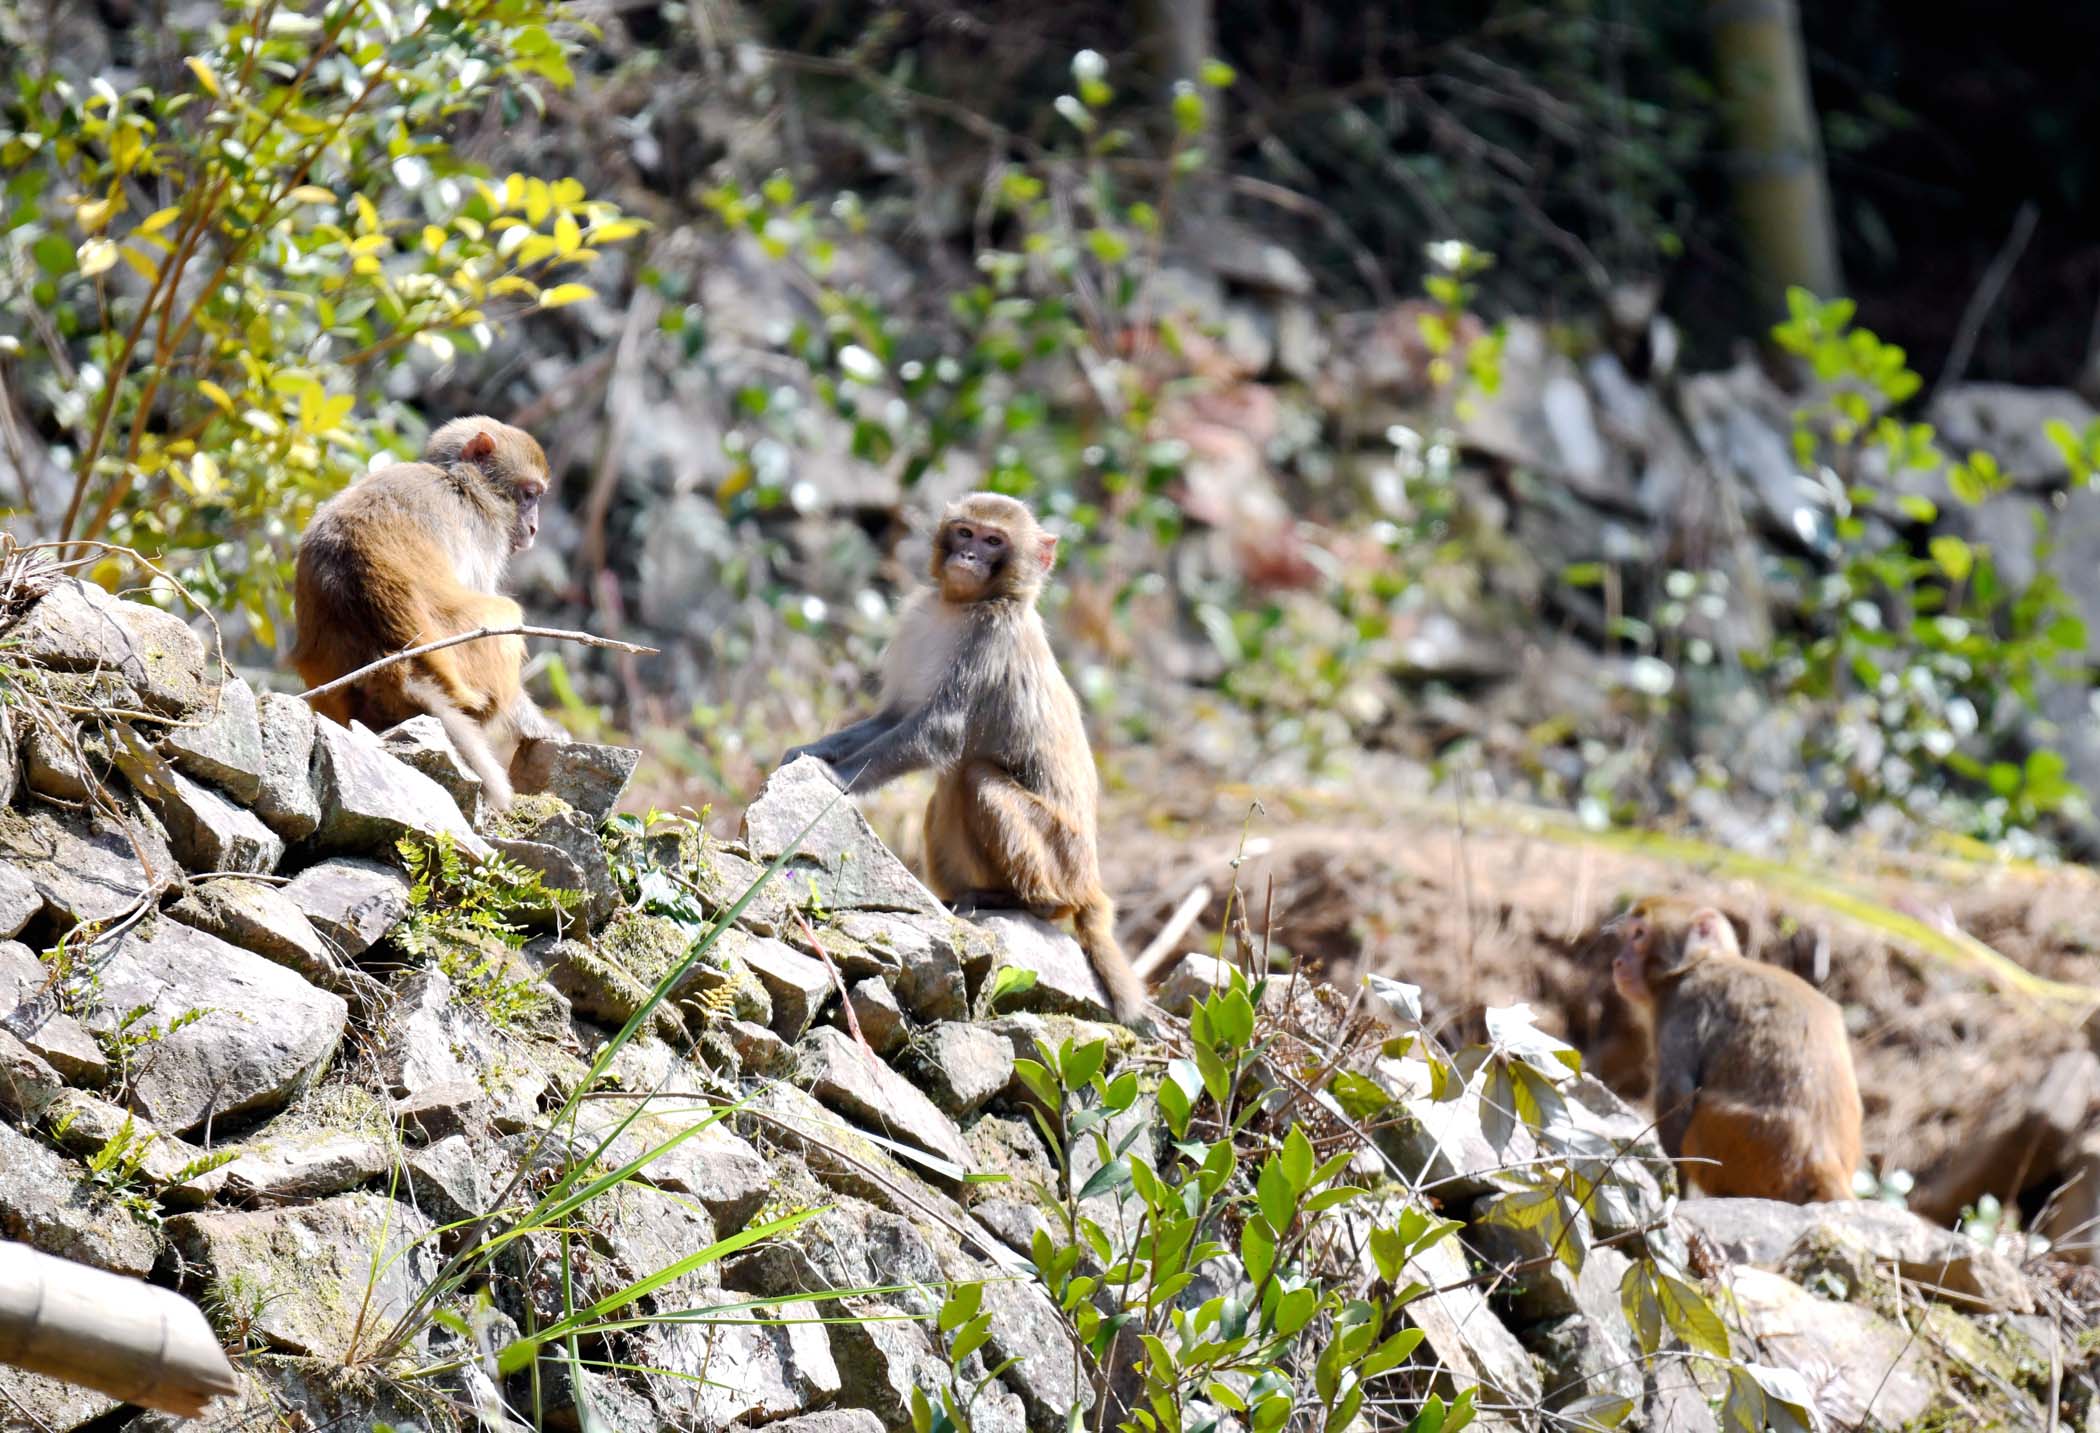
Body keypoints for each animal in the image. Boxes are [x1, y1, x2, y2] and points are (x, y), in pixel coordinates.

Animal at [291, 416, 567, 815]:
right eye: (529, 494)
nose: (534, 528)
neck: (459, 481)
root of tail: (394, 665)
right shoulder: (484, 533)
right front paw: (540, 726)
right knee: (505, 612)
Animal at [785, 493, 1150, 1025]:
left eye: (994, 540)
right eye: (964, 532)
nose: (969, 556)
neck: (964, 605)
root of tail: (1090, 884)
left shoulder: (990, 640)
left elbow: (940, 732)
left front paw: (835, 777)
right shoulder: (920, 620)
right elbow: (893, 718)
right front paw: (809, 752)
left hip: (1061, 856)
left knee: (974, 776)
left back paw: (1029, 903)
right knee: (950, 786)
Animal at [1612, 903, 1864, 1193]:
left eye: (1639, 934)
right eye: (1627, 934)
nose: (1617, 962)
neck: (1704, 960)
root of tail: (1822, 1165)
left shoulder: (1683, 1001)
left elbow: (1675, 1094)